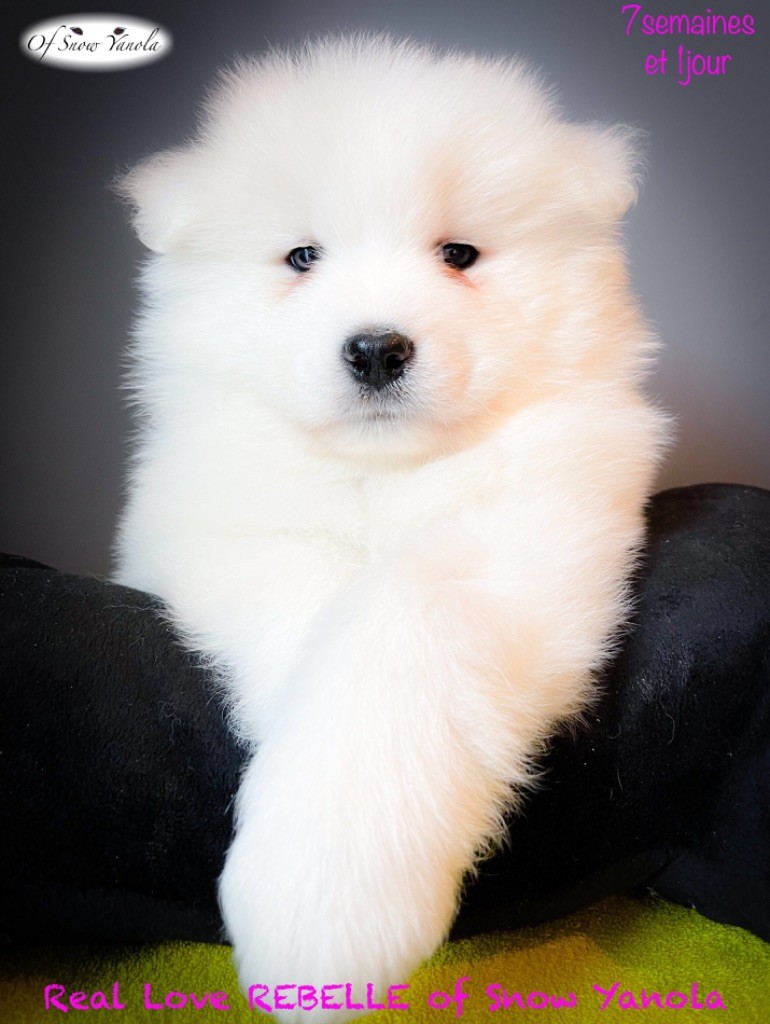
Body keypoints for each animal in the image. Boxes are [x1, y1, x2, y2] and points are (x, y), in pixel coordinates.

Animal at [113, 34, 669, 1022]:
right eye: (302, 256)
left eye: (460, 253)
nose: (377, 349)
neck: (386, 476)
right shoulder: (219, 528)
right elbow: (319, 610)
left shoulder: (539, 537)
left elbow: (403, 619)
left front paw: (329, 896)